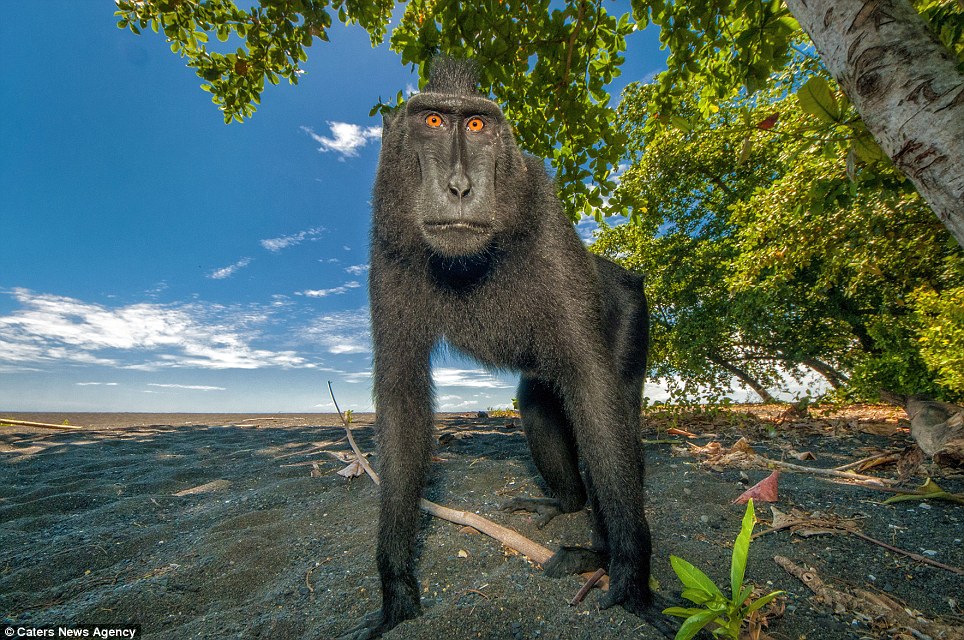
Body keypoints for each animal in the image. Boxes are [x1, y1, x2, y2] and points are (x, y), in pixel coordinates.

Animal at [344, 57, 672, 636]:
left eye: (477, 125)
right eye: (432, 121)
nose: (458, 186)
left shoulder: (543, 209)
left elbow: (593, 387)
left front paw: (634, 574)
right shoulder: (388, 246)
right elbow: (402, 403)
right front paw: (395, 591)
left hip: (633, 314)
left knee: (614, 419)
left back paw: (599, 553)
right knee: (537, 402)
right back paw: (566, 502)